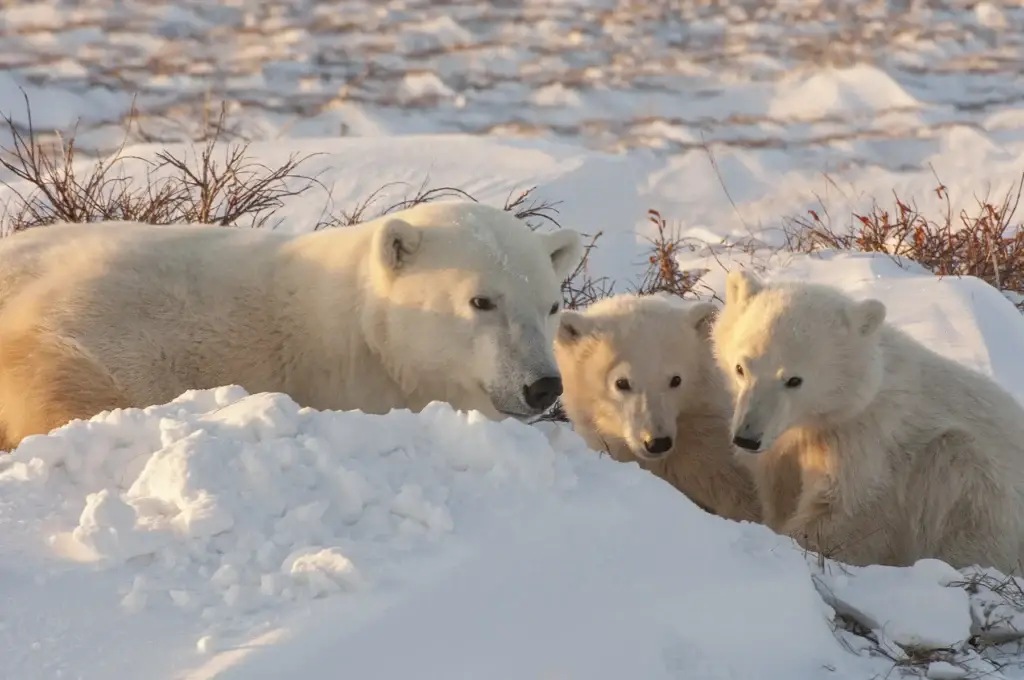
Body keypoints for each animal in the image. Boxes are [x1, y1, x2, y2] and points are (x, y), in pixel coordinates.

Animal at [711, 269, 1024, 572]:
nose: (747, 437)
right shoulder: (785, 446)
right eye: (741, 368)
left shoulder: (863, 442)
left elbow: (843, 510)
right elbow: (778, 487)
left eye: (794, 380)